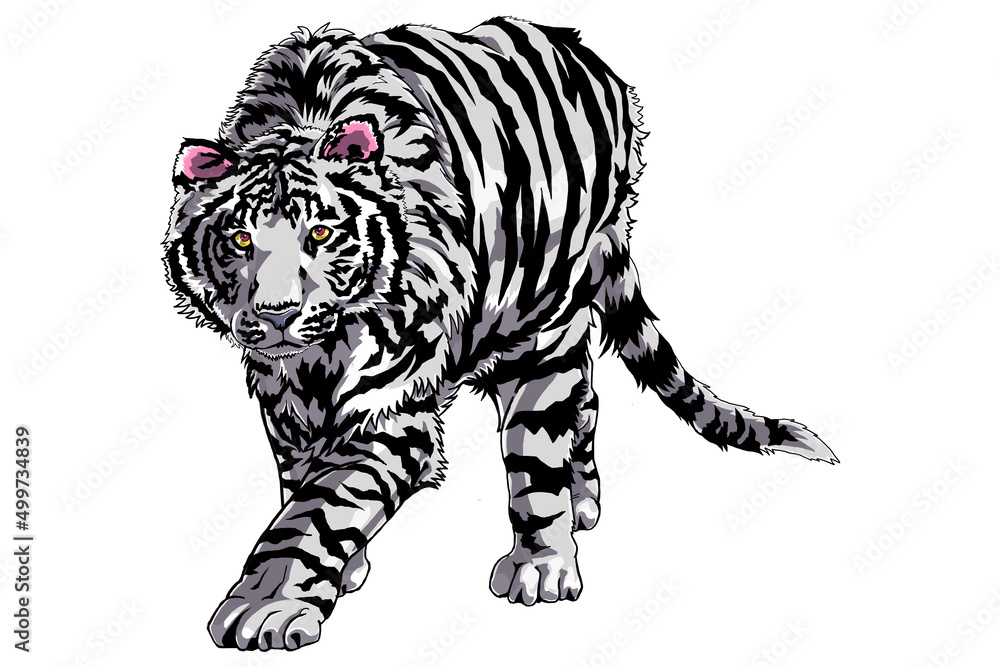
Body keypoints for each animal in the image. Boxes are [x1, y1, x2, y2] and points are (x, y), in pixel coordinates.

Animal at [163, 16, 838, 651]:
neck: (320, 356)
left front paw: (267, 605)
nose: (276, 313)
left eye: (322, 236)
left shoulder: (391, 410)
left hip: (545, 321)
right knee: (585, 397)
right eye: (240, 240)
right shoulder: (285, 401)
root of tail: (582, 49)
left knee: (544, 434)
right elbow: (298, 480)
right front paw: (343, 568)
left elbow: (317, 512)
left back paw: (546, 557)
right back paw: (581, 502)